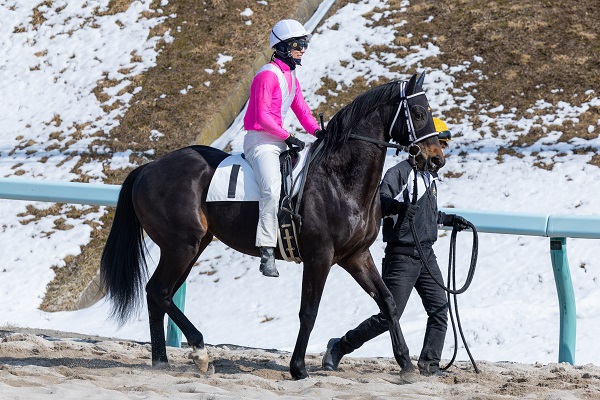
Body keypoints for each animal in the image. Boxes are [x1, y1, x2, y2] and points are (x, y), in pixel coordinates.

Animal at [99, 72, 446, 382]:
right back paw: (198, 350)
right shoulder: (319, 257)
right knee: (159, 291)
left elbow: (388, 302)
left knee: (158, 294)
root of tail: (148, 168)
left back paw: (162, 360)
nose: (436, 159)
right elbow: (309, 312)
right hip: (181, 246)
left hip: (191, 247)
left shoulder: (356, 256)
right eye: (419, 112)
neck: (340, 180)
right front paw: (298, 368)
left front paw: (405, 364)